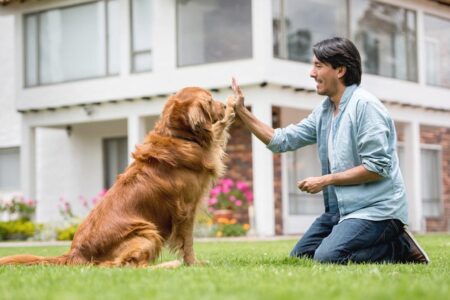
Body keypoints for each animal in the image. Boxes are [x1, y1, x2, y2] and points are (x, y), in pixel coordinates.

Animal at [0, 86, 236, 268]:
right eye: (210, 100)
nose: (224, 106)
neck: (178, 136)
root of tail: (75, 253)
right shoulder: (186, 209)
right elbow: (188, 242)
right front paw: (193, 263)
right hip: (147, 231)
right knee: (125, 266)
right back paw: (169, 265)